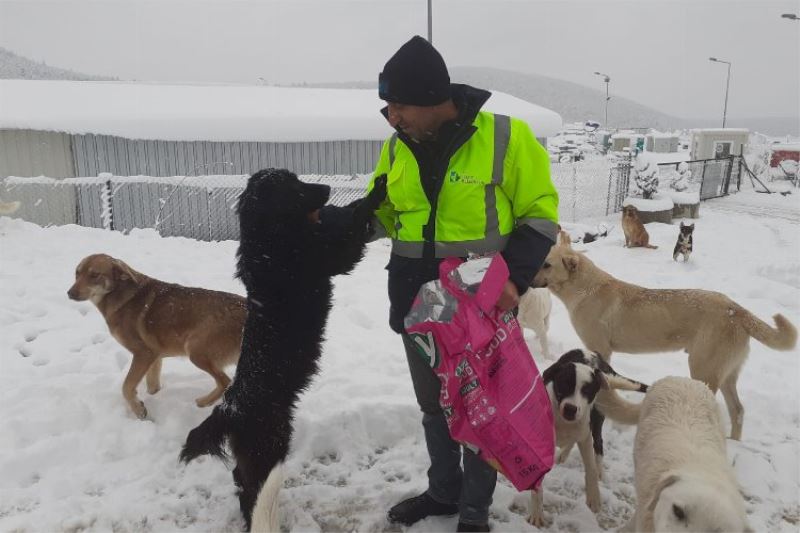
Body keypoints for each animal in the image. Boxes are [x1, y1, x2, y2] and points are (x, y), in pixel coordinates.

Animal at [67, 251, 245, 418]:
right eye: (77, 273)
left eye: (94, 275)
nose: (70, 293)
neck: (119, 295)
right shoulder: (155, 357)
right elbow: (152, 387)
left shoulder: (143, 353)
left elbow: (126, 387)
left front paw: (139, 411)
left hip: (196, 353)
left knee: (225, 382)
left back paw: (203, 402)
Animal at [177, 168, 388, 528]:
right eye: (293, 186)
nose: (326, 187)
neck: (271, 238)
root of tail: (229, 408)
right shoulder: (331, 255)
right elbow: (355, 221)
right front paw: (379, 188)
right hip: (269, 447)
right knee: (253, 490)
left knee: (240, 479)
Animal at [528, 350, 648, 528]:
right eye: (564, 384)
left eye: (587, 390)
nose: (570, 409)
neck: (563, 421)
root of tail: (594, 355)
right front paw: (537, 511)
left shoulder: (585, 435)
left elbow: (590, 469)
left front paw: (594, 497)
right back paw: (564, 453)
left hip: (597, 419)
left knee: (598, 445)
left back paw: (599, 470)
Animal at [532, 231, 792, 438]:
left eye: (547, 265)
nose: (527, 278)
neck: (584, 287)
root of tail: (736, 309)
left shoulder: (600, 348)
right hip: (726, 374)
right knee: (738, 411)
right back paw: (734, 442)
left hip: (703, 370)